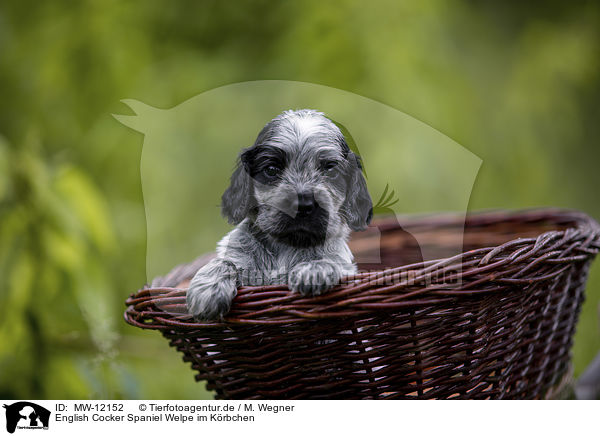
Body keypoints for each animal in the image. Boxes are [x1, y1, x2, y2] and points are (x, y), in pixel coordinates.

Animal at [186, 109, 370, 320]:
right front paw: (207, 289)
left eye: (330, 171)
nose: (303, 205)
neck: (287, 244)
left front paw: (314, 269)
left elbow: (332, 262)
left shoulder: (345, 265)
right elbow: (224, 262)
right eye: (272, 170)